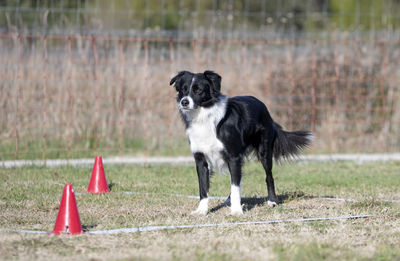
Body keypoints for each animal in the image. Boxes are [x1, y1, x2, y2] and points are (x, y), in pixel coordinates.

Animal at [169, 70, 312, 214]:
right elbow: (203, 187)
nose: (184, 102)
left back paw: (272, 201)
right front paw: (202, 210)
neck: (203, 117)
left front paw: (237, 211)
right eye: (183, 90)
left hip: (264, 151)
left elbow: (235, 185)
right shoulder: (201, 159)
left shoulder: (233, 157)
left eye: (198, 90)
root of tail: (261, 104)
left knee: (268, 176)